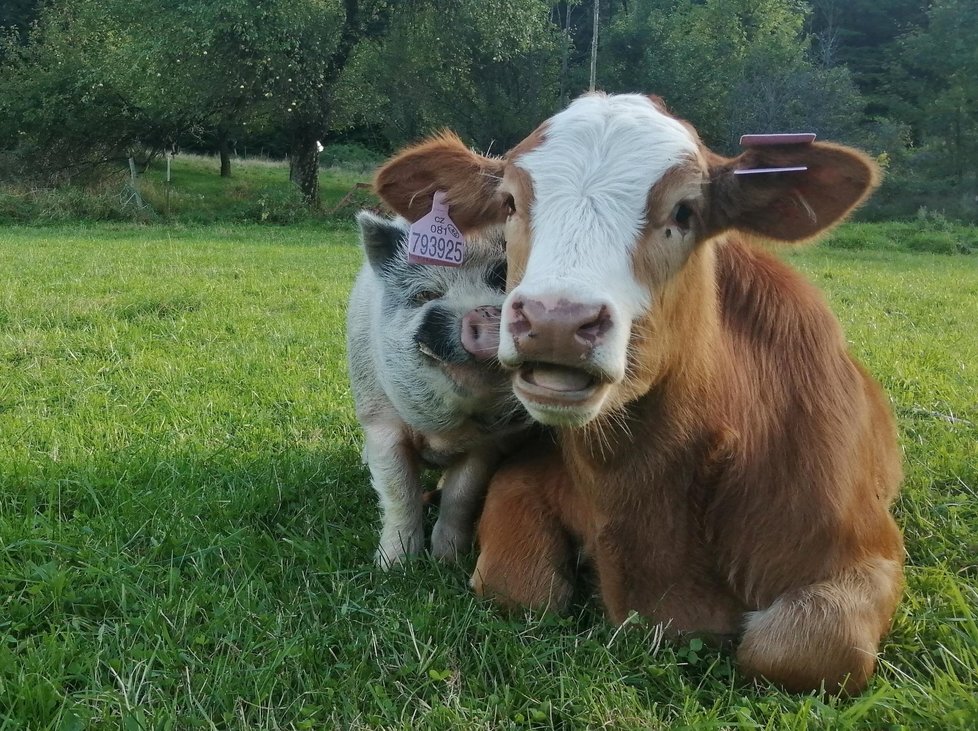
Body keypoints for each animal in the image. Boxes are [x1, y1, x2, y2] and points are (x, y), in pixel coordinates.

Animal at [344, 209, 528, 568]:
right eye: (426, 295)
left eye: (503, 280)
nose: (485, 311)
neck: (444, 434)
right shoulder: (382, 422)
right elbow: (399, 492)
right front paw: (393, 567)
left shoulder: (485, 443)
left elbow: (462, 495)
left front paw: (448, 560)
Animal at [370, 93, 904, 696]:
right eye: (508, 202)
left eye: (685, 212)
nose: (555, 321)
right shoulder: (521, 480)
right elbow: (518, 589)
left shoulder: (866, 551)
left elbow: (801, 650)